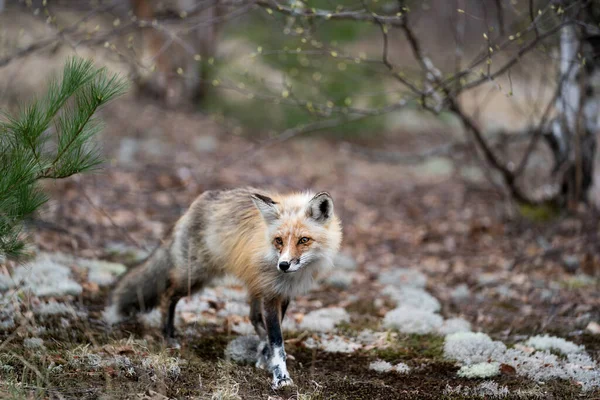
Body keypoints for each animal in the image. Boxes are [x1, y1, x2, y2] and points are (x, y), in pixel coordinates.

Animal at [104, 187, 342, 388]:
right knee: (167, 296)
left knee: (253, 317)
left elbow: (271, 334)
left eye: (304, 240)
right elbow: (276, 341)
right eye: (279, 241)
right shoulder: (270, 293)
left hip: (247, 285)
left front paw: (264, 359)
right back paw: (169, 336)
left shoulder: (280, 293)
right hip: (195, 277)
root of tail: (197, 202)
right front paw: (280, 377)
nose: (283, 265)